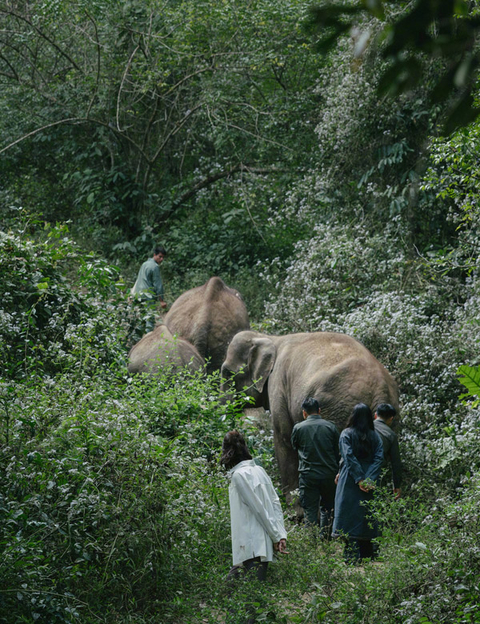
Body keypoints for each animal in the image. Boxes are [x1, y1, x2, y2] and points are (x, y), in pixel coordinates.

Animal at [222, 332, 402, 508]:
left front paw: (295, 511)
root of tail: (380, 387)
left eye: (227, 373)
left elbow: (284, 439)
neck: (269, 337)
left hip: (338, 410)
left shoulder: (277, 384)